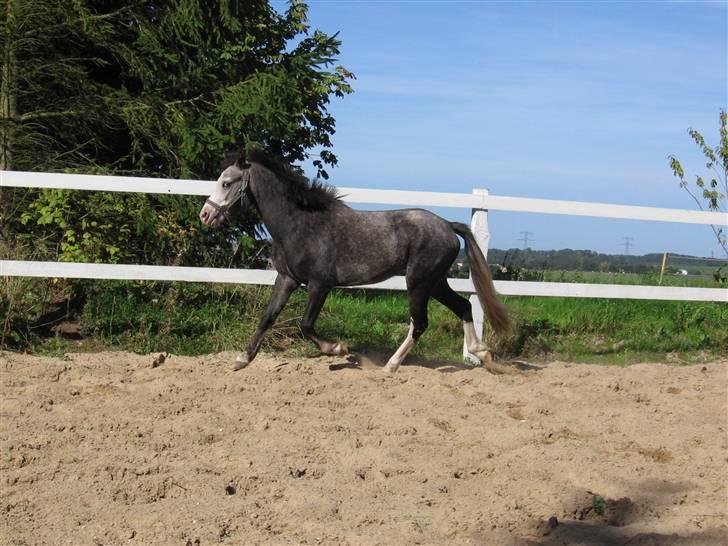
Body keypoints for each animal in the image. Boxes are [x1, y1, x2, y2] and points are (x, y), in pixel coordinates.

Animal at [196, 148, 510, 370]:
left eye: (226, 183)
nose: (205, 215)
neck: (300, 224)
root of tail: (447, 225)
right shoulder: (286, 278)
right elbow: (267, 317)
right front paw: (242, 359)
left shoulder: (320, 284)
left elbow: (306, 324)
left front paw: (338, 349)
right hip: (434, 282)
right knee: (462, 307)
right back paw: (482, 353)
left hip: (419, 282)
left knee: (420, 322)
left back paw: (391, 366)